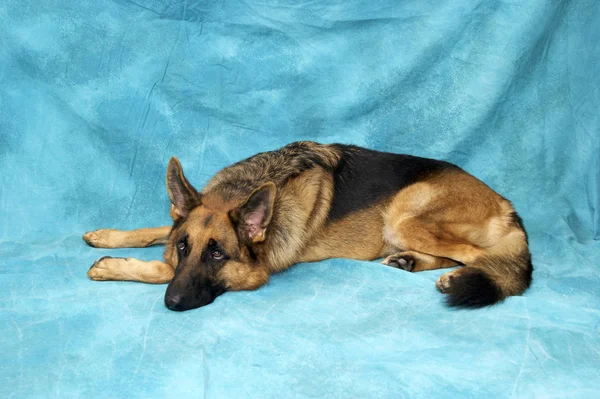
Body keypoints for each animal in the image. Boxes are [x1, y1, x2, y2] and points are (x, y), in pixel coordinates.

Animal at [82, 143, 532, 312]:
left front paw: (113, 266)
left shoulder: (256, 268)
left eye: (217, 254)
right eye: (184, 247)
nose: (172, 304)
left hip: (403, 213)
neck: (246, 188)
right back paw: (408, 262)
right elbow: (158, 229)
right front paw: (107, 236)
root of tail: (507, 204)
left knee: (481, 256)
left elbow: (160, 270)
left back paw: (454, 274)